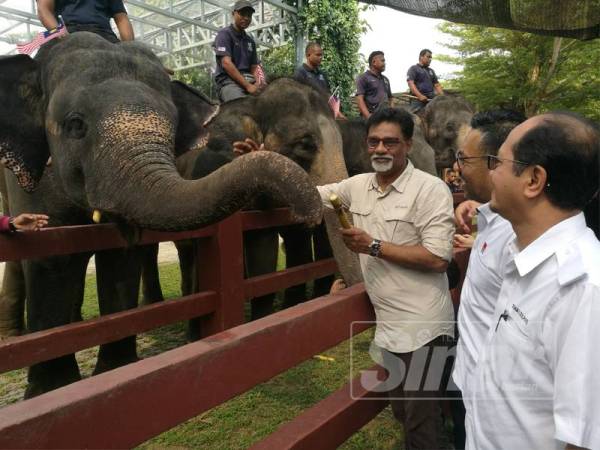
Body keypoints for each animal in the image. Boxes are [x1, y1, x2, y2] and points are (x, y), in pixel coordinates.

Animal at [0, 32, 324, 398]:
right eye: (75, 125)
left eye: (172, 125)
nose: (310, 213)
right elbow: (51, 259)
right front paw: (53, 391)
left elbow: (120, 257)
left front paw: (116, 373)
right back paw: (19, 334)